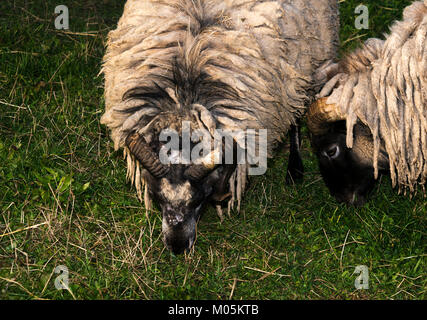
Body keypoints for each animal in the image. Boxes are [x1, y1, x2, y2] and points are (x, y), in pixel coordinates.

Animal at [102, 0, 340, 255]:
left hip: (306, 64)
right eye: (157, 198)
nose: (177, 247)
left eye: (199, 199)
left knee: (297, 107)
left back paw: (295, 169)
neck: (184, 107)